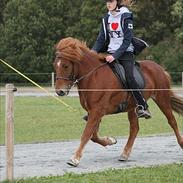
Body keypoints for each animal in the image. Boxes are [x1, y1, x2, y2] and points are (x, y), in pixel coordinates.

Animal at [53, 36, 183, 167]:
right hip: (133, 107)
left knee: (172, 121)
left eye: (65, 66)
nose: (60, 91)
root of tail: (160, 68)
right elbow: (93, 135)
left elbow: (86, 133)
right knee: (134, 129)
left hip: (162, 99)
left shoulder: (97, 111)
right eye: (55, 65)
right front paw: (110, 140)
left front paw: (75, 159)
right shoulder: (93, 112)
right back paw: (125, 154)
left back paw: (181, 143)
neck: (93, 77)